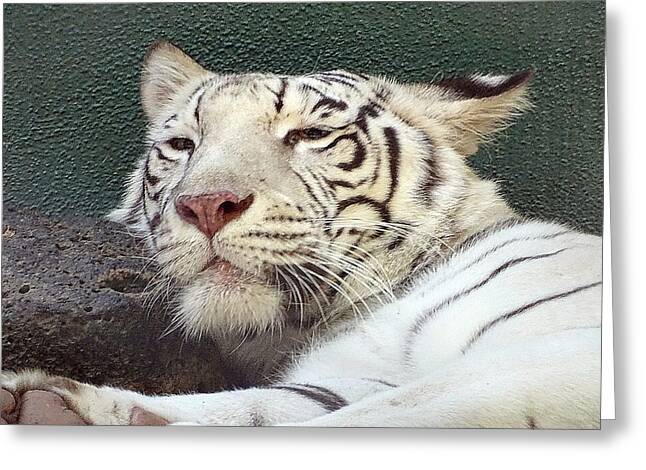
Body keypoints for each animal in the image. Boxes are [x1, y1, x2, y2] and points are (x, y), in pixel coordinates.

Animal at [0, 41, 601, 428]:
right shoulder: (339, 377)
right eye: (183, 144)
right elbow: (261, 406)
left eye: (309, 134)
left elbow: (380, 414)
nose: (206, 205)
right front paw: (52, 403)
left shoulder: (559, 355)